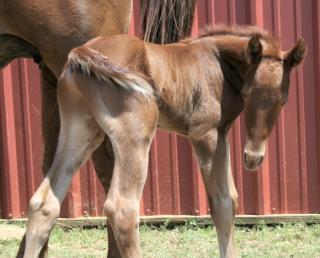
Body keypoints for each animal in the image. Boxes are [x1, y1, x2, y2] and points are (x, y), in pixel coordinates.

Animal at [21, 25, 304, 256]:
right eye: (247, 93)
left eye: (283, 100)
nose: (253, 157)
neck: (216, 62)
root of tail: (82, 52)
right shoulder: (206, 134)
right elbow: (221, 204)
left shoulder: (222, 134)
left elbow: (232, 198)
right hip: (135, 134)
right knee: (122, 208)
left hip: (81, 130)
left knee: (44, 203)